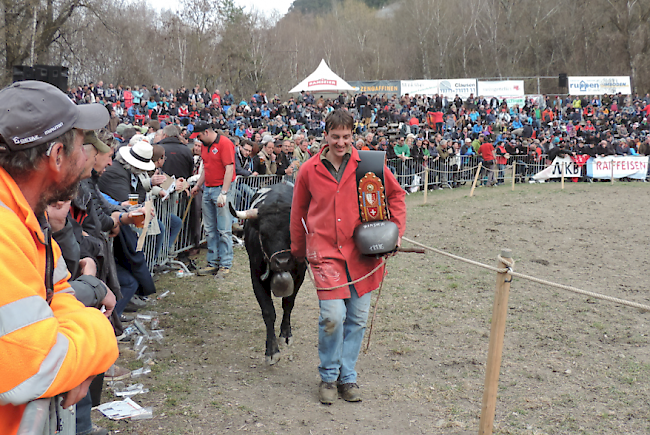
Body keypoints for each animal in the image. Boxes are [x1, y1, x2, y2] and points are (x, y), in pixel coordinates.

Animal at [230, 182, 306, 366]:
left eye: (292, 231)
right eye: (263, 233)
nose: (282, 261)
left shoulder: (300, 273)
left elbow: (288, 303)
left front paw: (285, 334)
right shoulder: (255, 275)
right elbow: (268, 311)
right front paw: (271, 351)